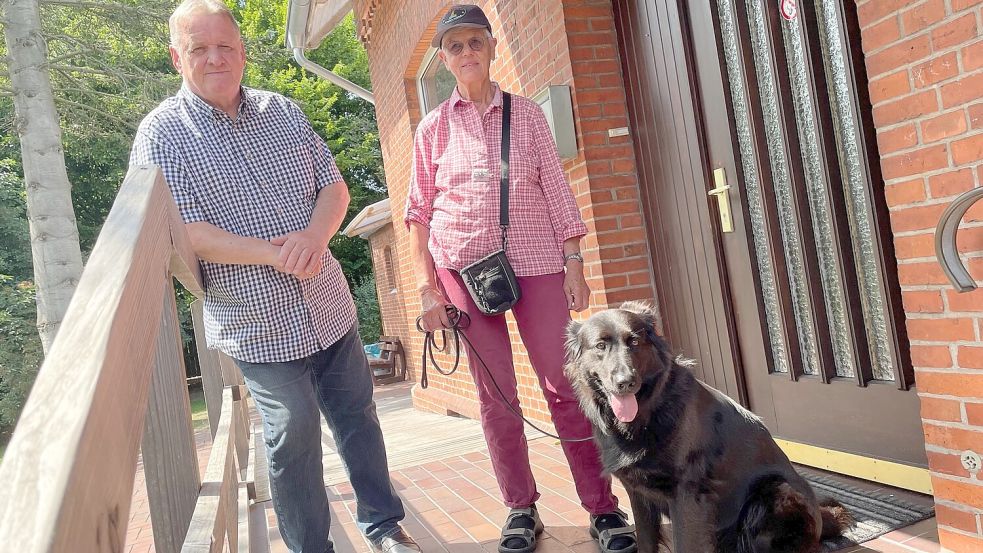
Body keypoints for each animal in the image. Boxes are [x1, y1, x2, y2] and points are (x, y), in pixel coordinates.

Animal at [564, 302, 848, 552]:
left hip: (773, 495)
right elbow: (645, 542)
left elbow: (685, 545)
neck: (649, 411)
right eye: (600, 346)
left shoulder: (688, 495)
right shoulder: (639, 494)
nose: (626, 382)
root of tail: (821, 520)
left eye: (634, 342)